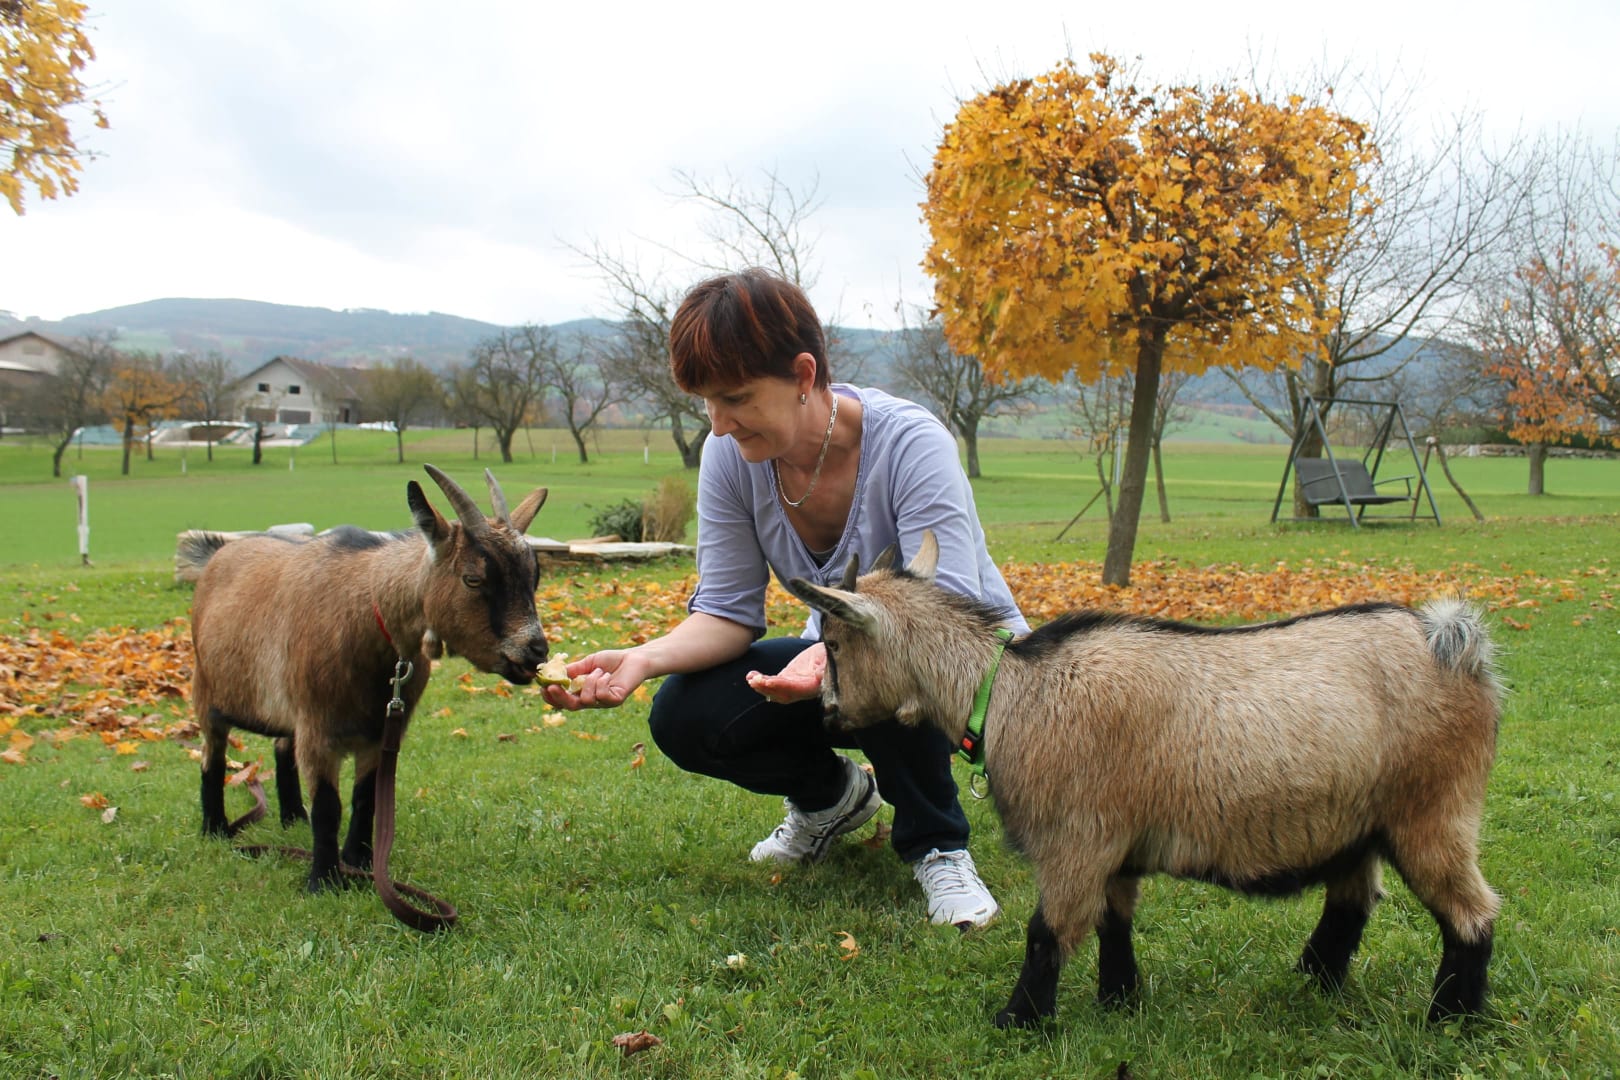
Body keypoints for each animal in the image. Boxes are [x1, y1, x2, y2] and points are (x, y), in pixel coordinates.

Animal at [180, 464, 550, 893]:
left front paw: (359, 861)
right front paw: (323, 880)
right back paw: (214, 828)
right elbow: (328, 806)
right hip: (206, 691)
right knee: (212, 755)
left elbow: (366, 797)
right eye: (473, 579)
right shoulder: (318, 729)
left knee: (281, 746)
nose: (535, 650)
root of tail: (218, 554)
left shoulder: (380, 731)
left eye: (534, 576)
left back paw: (292, 817)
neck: (369, 615)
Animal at [784, 531, 1502, 1028]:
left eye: (836, 644)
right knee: (1353, 899)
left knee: (1472, 914)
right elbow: (1113, 922)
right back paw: (1313, 981)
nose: (826, 712)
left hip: (1434, 809)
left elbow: (1048, 932)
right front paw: (1118, 1001)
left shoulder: (1075, 840)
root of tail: (1455, 644)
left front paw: (1018, 1020)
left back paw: (1450, 1019)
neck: (1011, 692)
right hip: (1358, 820)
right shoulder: (1115, 845)